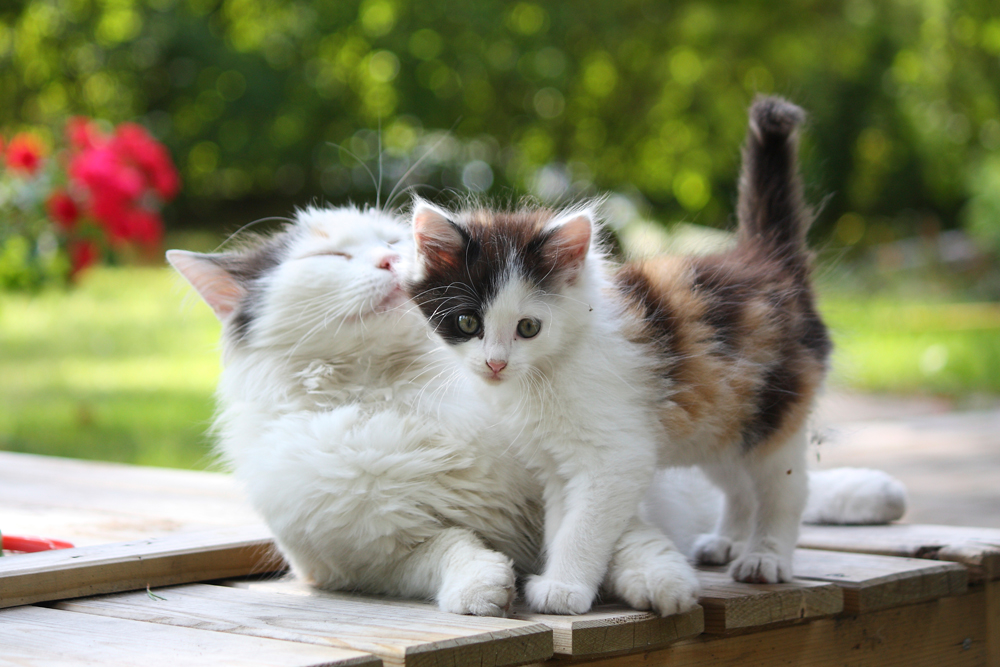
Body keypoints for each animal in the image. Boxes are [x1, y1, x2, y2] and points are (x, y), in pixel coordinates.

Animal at [408, 95, 828, 616]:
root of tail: (766, 261)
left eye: (528, 328)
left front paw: (565, 588)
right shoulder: (556, 464)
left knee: (784, 488)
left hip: (772, 413)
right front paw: (563, 576)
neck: (551, 369)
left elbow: (584, 526)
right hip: (721, 420)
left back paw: (765, 557)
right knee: (738, 485)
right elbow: (561, 520)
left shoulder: (615, 457)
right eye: (468, 323)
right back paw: (726, 542)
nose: (495, 363)